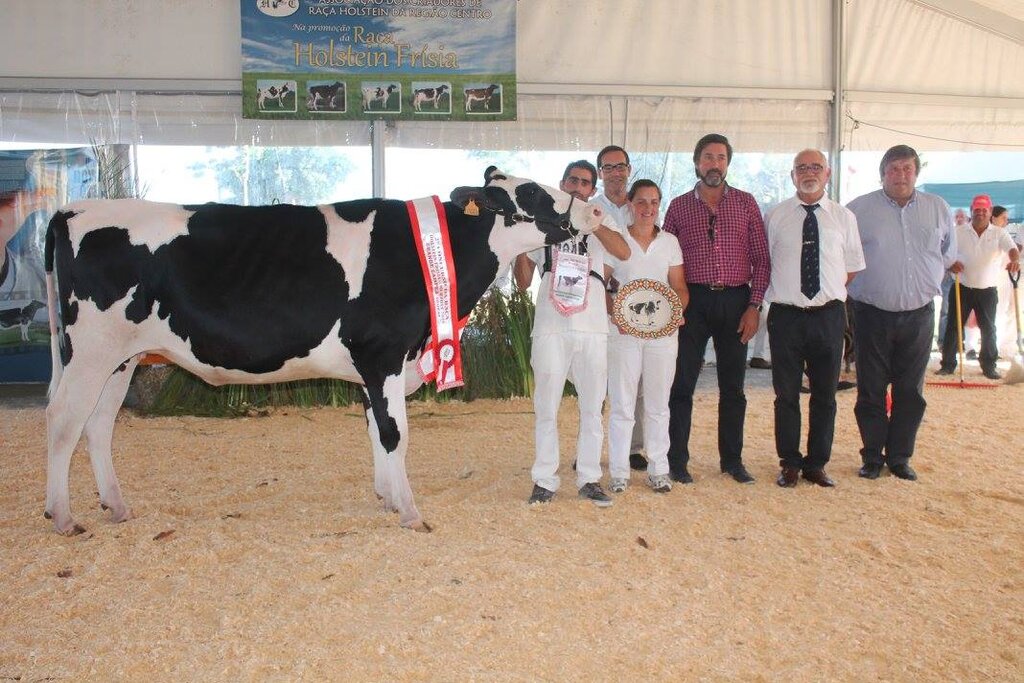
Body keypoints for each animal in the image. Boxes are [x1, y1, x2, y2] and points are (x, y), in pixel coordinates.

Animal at [42, 167, 604, 536]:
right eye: (532, 193)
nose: (594, 208)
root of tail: (70, 209)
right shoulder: (382, 355)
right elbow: (396, 434)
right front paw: (411, 513)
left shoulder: (377, 368)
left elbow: (377, 432)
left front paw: (386, 499)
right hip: (89, 352)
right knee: (64, 422)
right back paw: (64, 517)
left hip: (121, 360)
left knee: (98, 426)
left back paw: (116, 507)